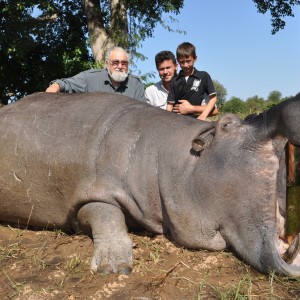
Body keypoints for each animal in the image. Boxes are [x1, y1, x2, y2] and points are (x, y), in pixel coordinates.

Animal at [0, 92, 298, 276]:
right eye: (226, 124)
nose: (289, 104)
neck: (172, 160)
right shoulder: (89, 195)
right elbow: (105, 214)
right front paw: (115, 268)